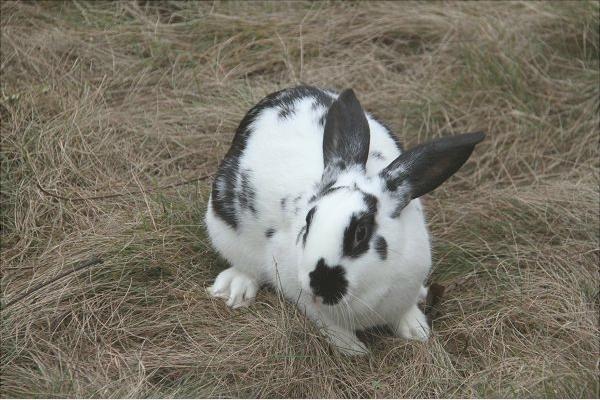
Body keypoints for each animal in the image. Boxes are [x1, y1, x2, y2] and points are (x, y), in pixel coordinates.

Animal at [204, 85, 486, 356]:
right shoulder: (300, 294)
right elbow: (329, 325)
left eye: (361, 232)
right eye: (308, 220)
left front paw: (417, 331)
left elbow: (404, 311)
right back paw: (235, 289)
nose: (319, 284)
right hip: (224, 232)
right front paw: (354, 349)